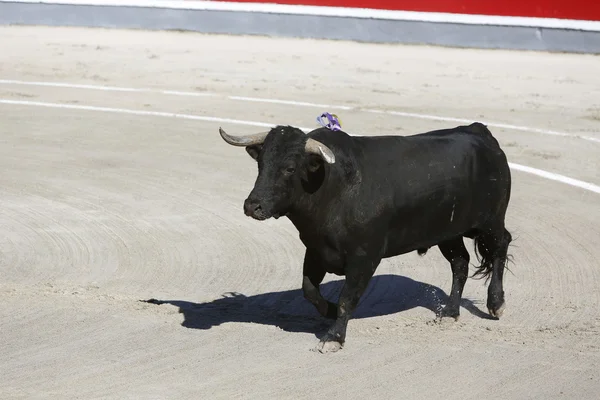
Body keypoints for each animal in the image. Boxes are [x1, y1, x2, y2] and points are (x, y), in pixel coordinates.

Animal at [219, 122, 510, 354]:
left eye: (290, 168)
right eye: (261, 164)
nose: (252, 206)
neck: (333, 188)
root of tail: (479, 131)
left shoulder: (364, 258)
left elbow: (347, 298)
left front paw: (334, 338)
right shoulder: (315, 250)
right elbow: (309, 290)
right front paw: (330, 311)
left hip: (490, 221)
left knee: (500, 246)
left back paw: (496, 304)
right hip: (448, 232)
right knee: (460, 263)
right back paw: (450, 313)